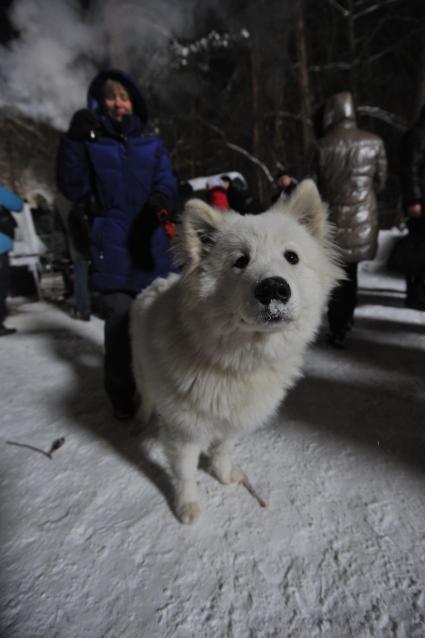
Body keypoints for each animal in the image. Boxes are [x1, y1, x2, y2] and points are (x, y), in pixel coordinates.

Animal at [132, 180, 342, 524]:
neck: (237, 362)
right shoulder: (183, 431)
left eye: (292, 257)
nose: (273, 288)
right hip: (142, 374)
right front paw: (187, 507)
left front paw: (224, 475)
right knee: (145, 398)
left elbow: (222, 450)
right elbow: (185, 472)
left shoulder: (233, 419)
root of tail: (154, 284)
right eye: (241, 261)